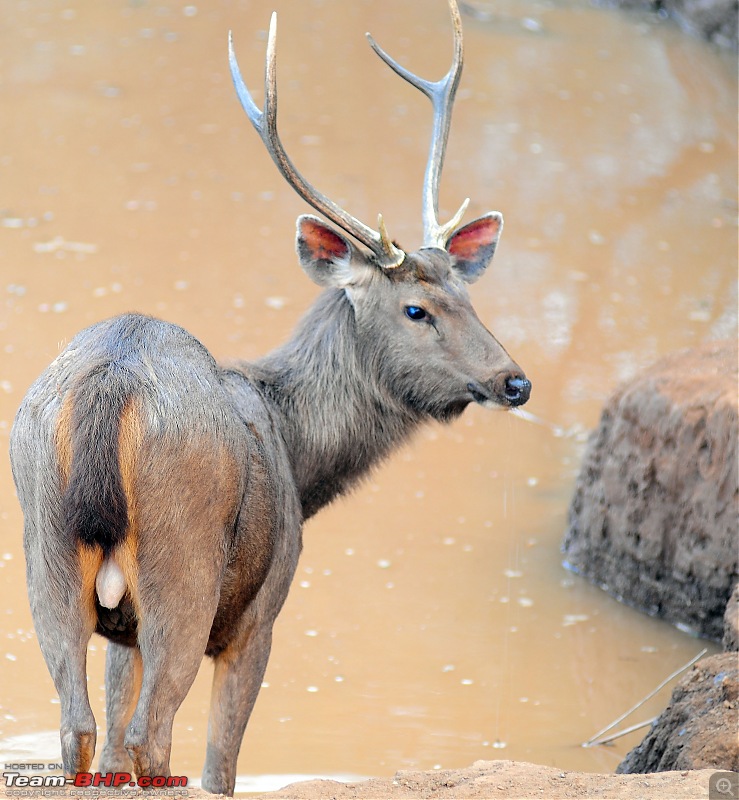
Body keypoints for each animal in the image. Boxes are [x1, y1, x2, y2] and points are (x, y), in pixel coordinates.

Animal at [11, 0, 532, 792]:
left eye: (467, 295)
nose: (514, 380)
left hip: (45, 556)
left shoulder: (122, 634)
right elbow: (221, 765)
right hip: (184, 572)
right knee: (150, 734)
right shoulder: (261, 614)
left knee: (81, 731)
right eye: (416, 310)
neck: (297, 452)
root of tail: (112, 384)